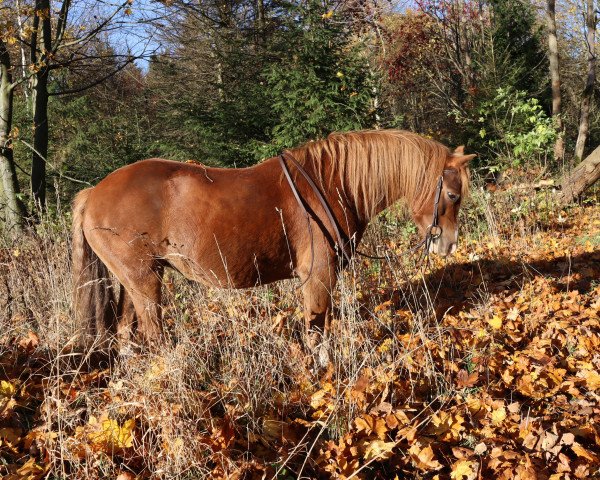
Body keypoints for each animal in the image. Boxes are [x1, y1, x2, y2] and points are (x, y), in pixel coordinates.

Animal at [71, 130, 474, 352]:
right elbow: (316, 333)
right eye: (453, 195)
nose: (448, 245)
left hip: (136, 280)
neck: (329, 185)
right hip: (144, 281)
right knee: (152, 334)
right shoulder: (318, 276)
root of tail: (93, 194)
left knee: (127, 335)